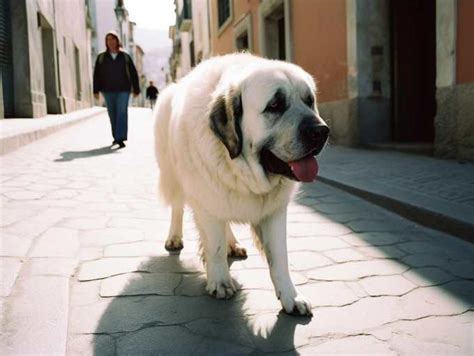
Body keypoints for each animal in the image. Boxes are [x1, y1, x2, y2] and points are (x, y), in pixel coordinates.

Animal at [154, 52, 328, 314]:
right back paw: (175, 237)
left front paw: (290, 296)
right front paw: (220, 281)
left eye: (309, 101)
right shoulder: (207, 200)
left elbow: (280, 257)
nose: (321, 131)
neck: (239, 167)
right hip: (174, 176)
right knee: (177, 208)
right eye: (274, 106)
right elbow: (214, 245)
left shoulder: (274, 212)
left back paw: (232, 244)